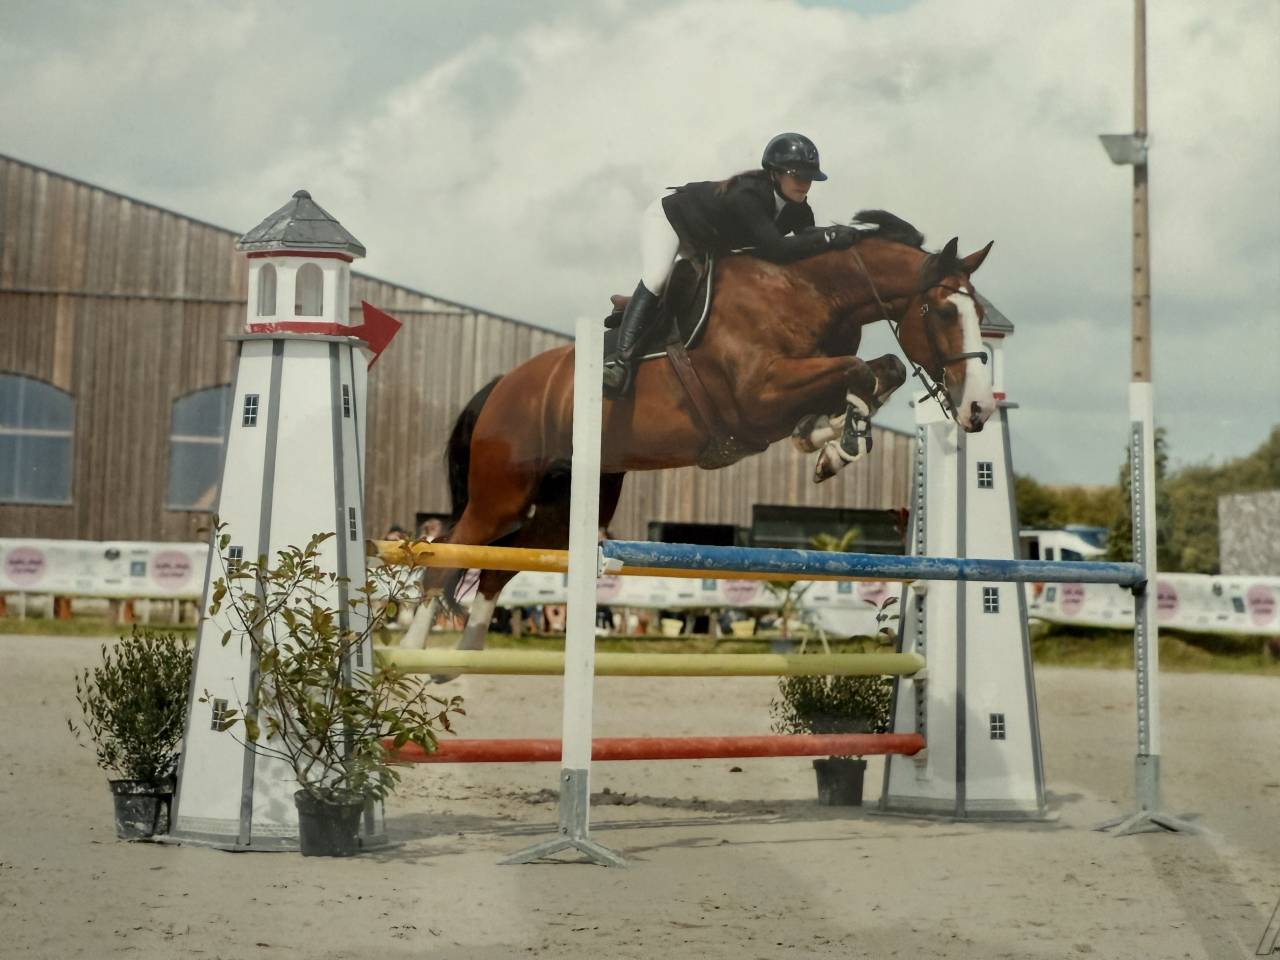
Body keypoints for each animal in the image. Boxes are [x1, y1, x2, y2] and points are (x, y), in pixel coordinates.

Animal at [407, 216, 996, 658]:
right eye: (944, 311)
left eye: (980, 315)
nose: (978, 409)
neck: (810, 292)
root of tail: (503, 384)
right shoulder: (758, 396)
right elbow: (858, 371)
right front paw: (838, 439)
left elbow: (879, 370)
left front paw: (830, 440)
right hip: (501, 495)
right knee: (448, 557)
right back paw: (412, 658)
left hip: (569, 503)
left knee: (498, 567)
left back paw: (460, 662)